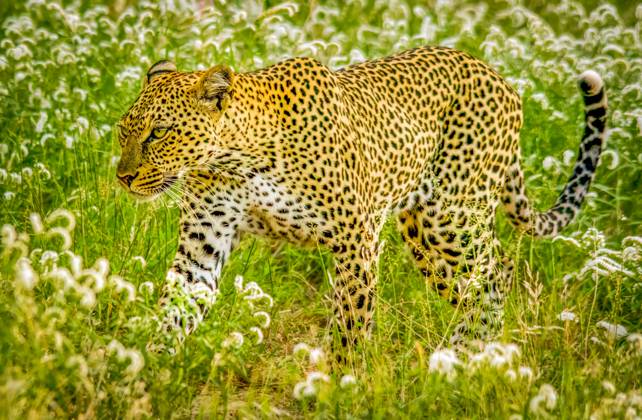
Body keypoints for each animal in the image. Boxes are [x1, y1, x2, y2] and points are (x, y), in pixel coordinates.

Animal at [116, 46, 607, 351]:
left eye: (158, 133)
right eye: (124, 131)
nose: (123, 177)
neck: (237, 158)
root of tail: (500, 78)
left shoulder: (356, 239)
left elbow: (352, 321)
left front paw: (341, 384)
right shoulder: (204, 240)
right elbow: (178, 304)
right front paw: (149, 369)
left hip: (451, 217)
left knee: (496, 271)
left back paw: (466, 355)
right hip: (424, 233)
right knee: (478, 283)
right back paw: (458, 357)